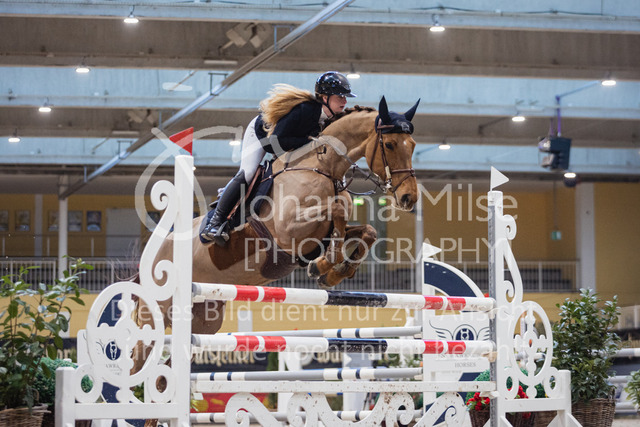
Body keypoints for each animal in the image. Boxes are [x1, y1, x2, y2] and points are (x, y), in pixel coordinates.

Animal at [134, 96, 420, 374]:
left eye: (413, 145)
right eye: (390, 144)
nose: (409, 198)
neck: (323, 168)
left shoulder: (317, 239)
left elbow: (366, 231)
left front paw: (335, 273)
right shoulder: (287, 229)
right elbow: (337, 209)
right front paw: (323, 266)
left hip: (205, 318)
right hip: (158, 310)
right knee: (140, 356)